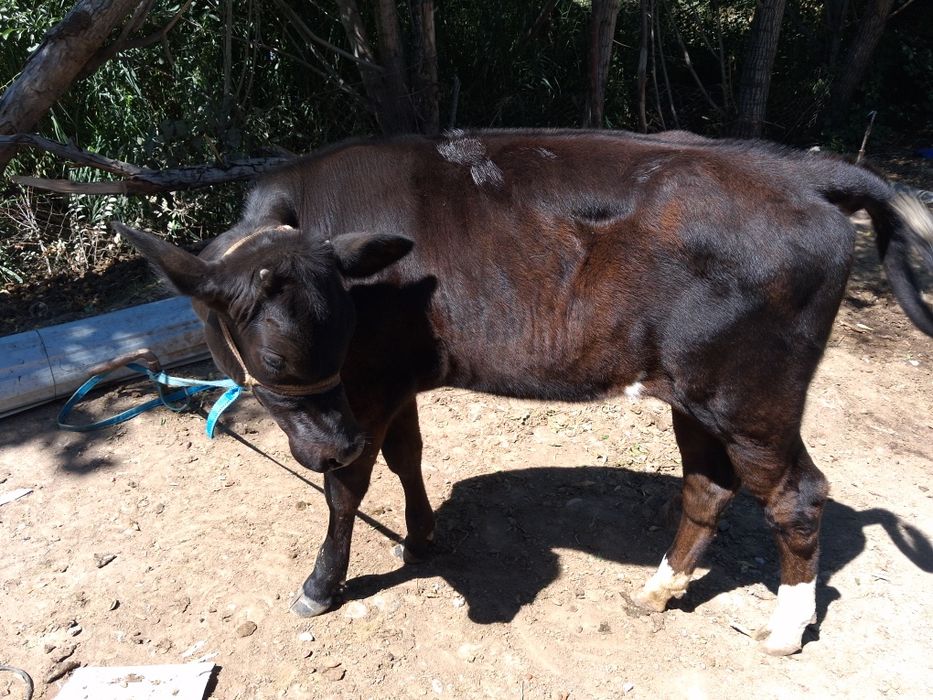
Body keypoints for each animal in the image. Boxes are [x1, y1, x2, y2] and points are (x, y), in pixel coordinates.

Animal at [114, 129, 933, 656]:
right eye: (275, 355)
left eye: (338, 334)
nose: (328, 444)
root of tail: (800, 172)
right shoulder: (393, 379)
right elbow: (408, 456)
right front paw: (421, 535)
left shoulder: (367, 385)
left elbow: (348, 490)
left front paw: (322, 582)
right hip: (694, 394)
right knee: (707, 486)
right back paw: (655, 590)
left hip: (749, 397)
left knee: (796, 495)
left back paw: (785, 630)